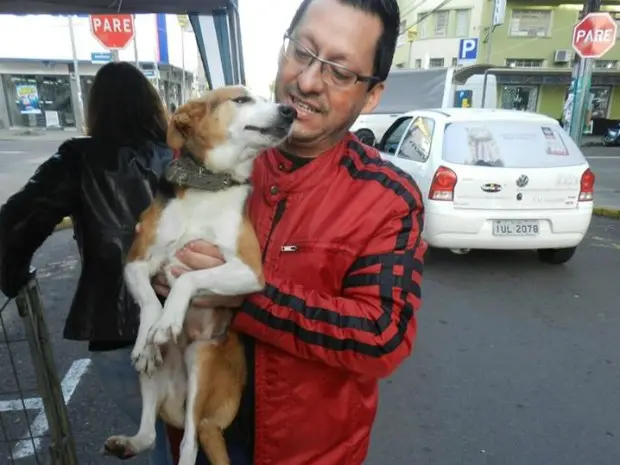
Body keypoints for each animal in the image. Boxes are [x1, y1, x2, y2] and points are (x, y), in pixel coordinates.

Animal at [101, 86, 296, 464]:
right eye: (241, 99)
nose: (291, 111)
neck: (208, 185)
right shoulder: (136, 261)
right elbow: (150, 302)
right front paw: (148, 337)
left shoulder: (249, 271)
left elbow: (186, 280)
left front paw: (168, 321)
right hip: (155, 377)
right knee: (149, 434)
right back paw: (129, 439)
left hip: (201, 360)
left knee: (189, 442)